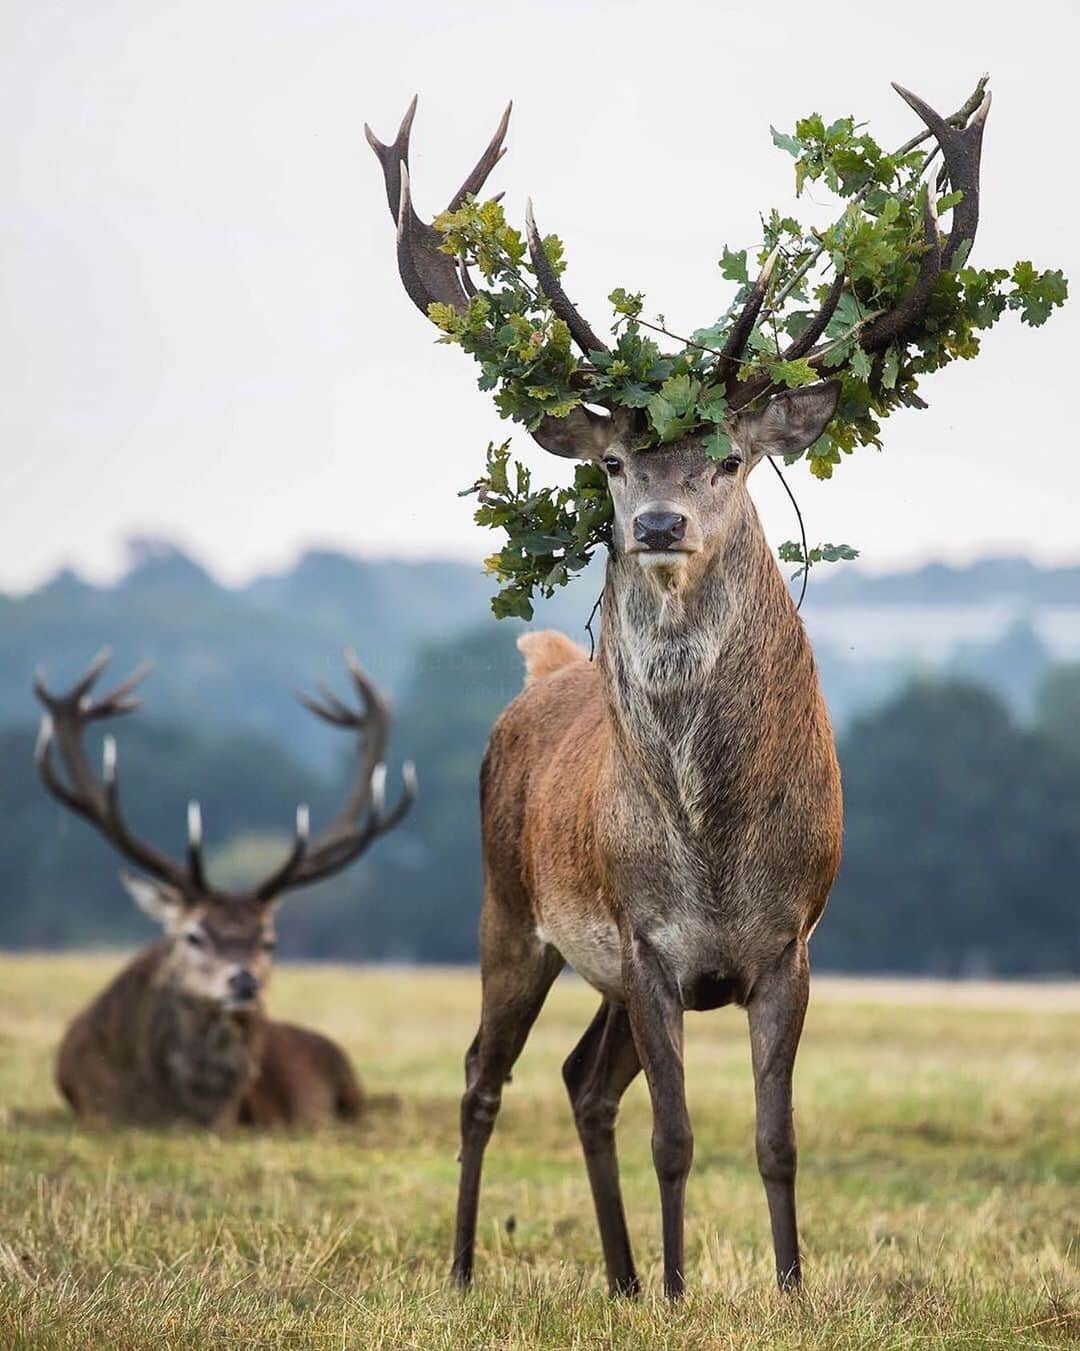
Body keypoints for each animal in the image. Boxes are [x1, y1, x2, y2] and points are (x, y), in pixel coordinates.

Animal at [370, 79, 989, 1291]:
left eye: (731, 457)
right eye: (614, 463)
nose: (656, 523)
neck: (711, 842)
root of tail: (542, 670)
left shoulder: (789, 944)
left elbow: (775, 1137)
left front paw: (789, 1288)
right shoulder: (648, 940)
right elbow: (676, 1134)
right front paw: (675, 1287)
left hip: (594, 967)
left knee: (580, 1080)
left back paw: (610, 1277)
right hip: (510, 908)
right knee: (481, 1075)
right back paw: (466, 1268)